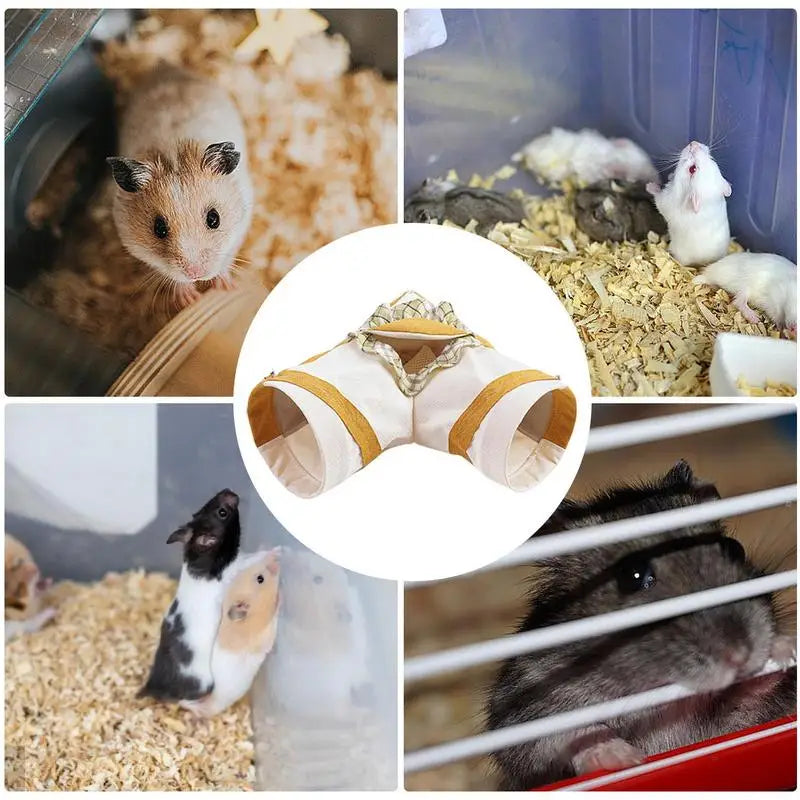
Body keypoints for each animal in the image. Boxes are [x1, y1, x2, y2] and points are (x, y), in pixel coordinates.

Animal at [107, 66, 254, 308]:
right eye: (159, 229)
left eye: (214, 219)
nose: (196, 274)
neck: (173, 156)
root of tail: (166, 67)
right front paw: (189, 299)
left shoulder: (241, 226)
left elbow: (226, 260)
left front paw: (226, 287)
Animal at [486, 461, 796, 790]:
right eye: (633, 576)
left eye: (734, 548)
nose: (741, 654)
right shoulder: (522, 711)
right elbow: (564, 737)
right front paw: (626, 758)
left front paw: (781, 650)